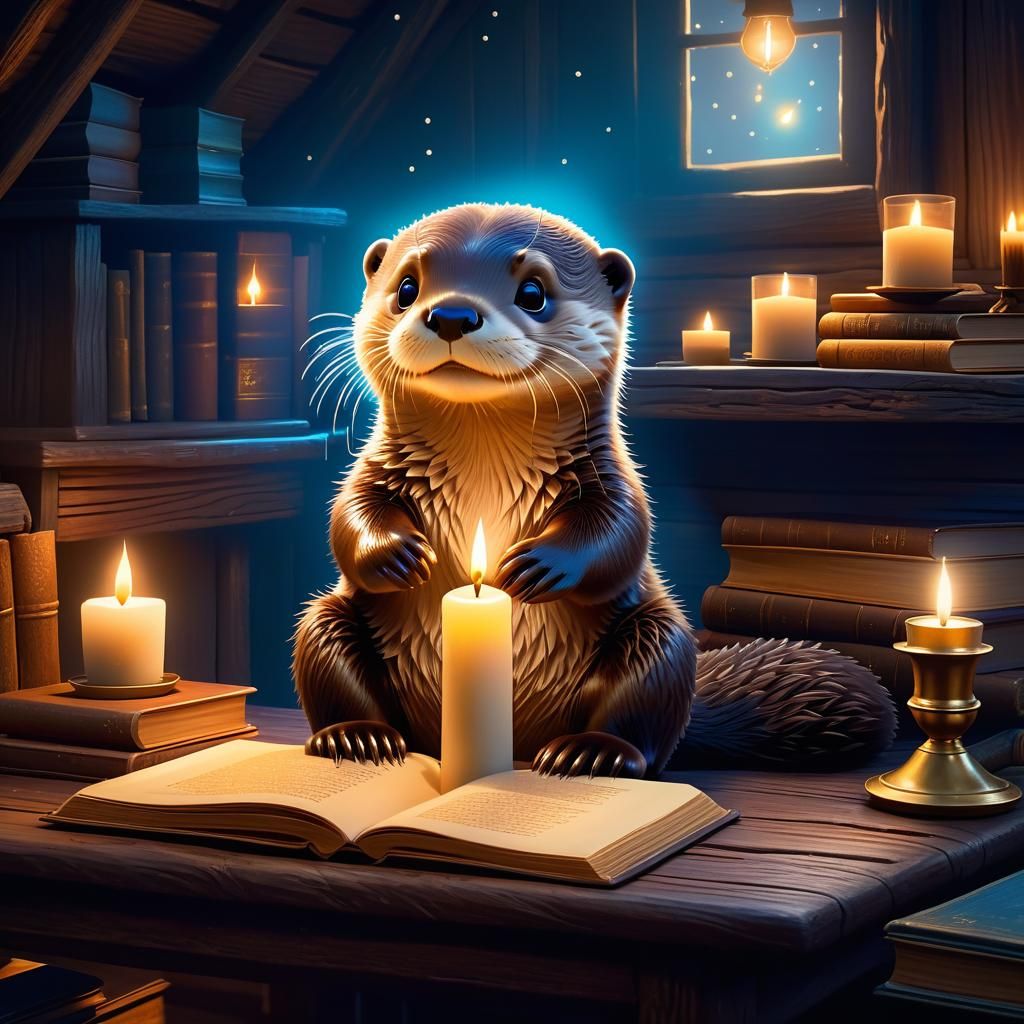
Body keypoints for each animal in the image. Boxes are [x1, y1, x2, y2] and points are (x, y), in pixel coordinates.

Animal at [293, 203, 895, 778]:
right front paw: (395, 553)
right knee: (328, 652)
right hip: (330, 623)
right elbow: (347, 515)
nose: (452, 314)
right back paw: (358, 737)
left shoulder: (610, 475)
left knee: (644, 715)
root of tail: (519, 741)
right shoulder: (377, 467)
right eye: (406, 287)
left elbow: (621, 530)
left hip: (657, 638)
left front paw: (538, 566)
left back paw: (589, 753)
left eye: (533, 292)